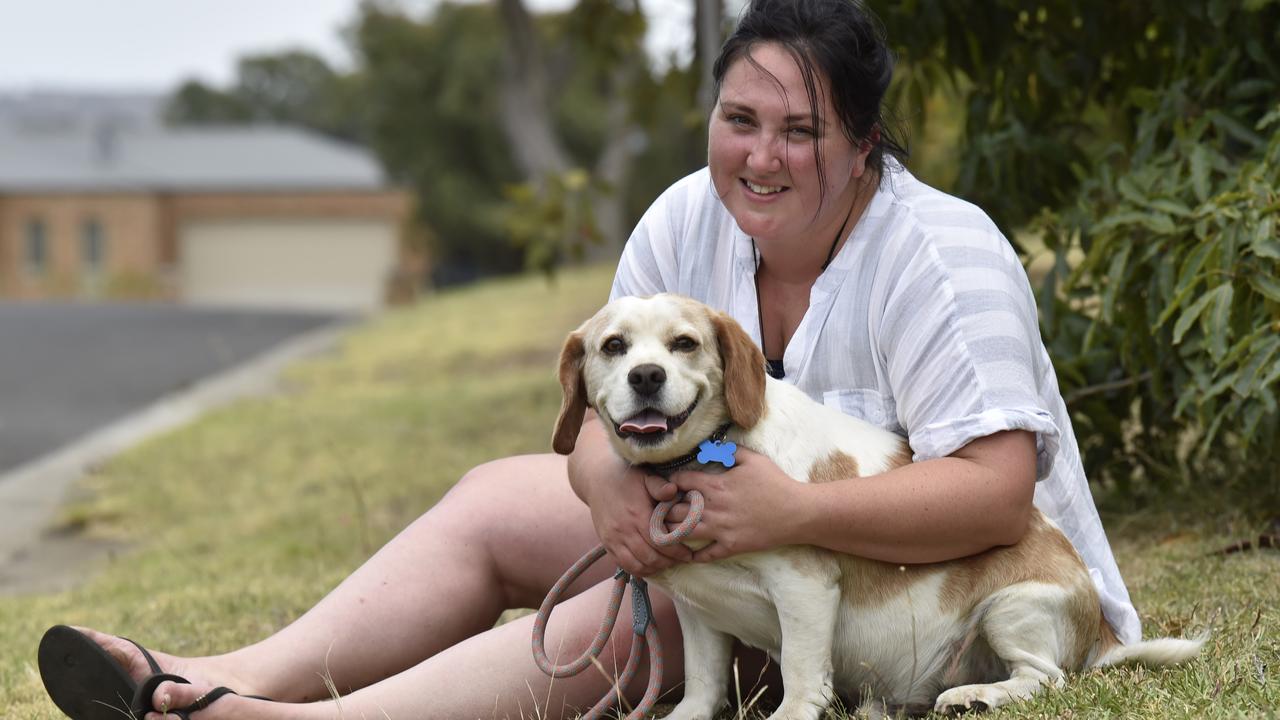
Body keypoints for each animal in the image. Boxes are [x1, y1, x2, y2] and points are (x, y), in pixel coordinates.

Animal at [550, 293, 1198, 717]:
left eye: (684, 343)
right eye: (614, 346)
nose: (647, 375)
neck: (701, 458)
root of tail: (1102, 636)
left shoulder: (805, 590)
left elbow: (802, 683)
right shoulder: (698, 612)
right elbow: (704, 689)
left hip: (1012, 607)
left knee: (1046, 679)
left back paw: (974, 696)